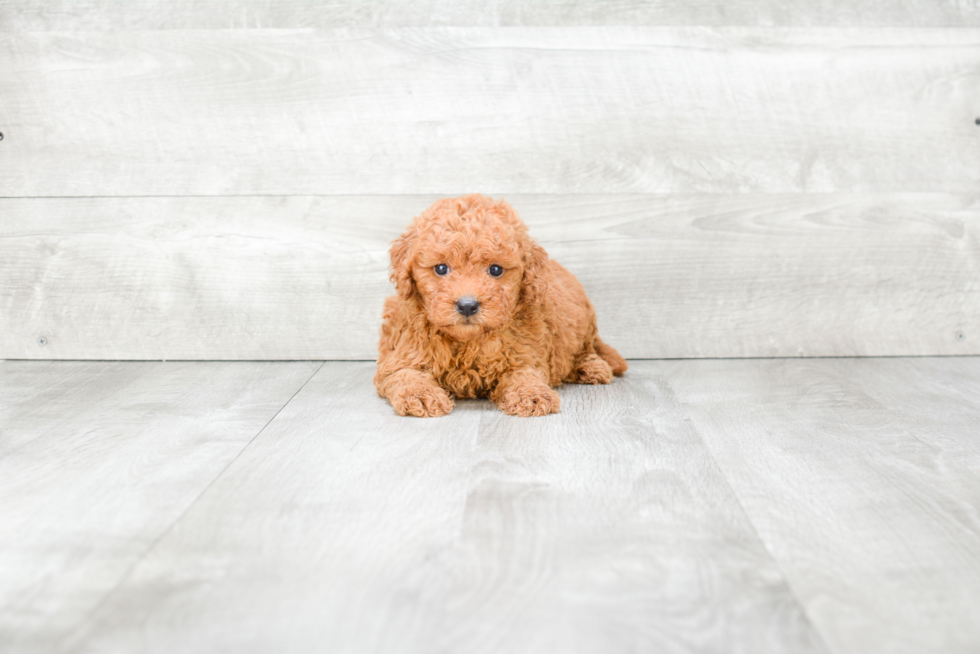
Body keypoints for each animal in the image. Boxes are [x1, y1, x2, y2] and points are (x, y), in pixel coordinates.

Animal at [376, 196, 628, 420]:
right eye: (440, 268)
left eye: (495, 270)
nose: (467, 305)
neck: (469, 342)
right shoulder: (401, 354)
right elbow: (405, 374)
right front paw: (420, 396)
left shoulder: (524, 355)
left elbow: (524, 375)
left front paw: (531, 394)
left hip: (583, 322)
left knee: (587, 348)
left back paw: (592, 367)